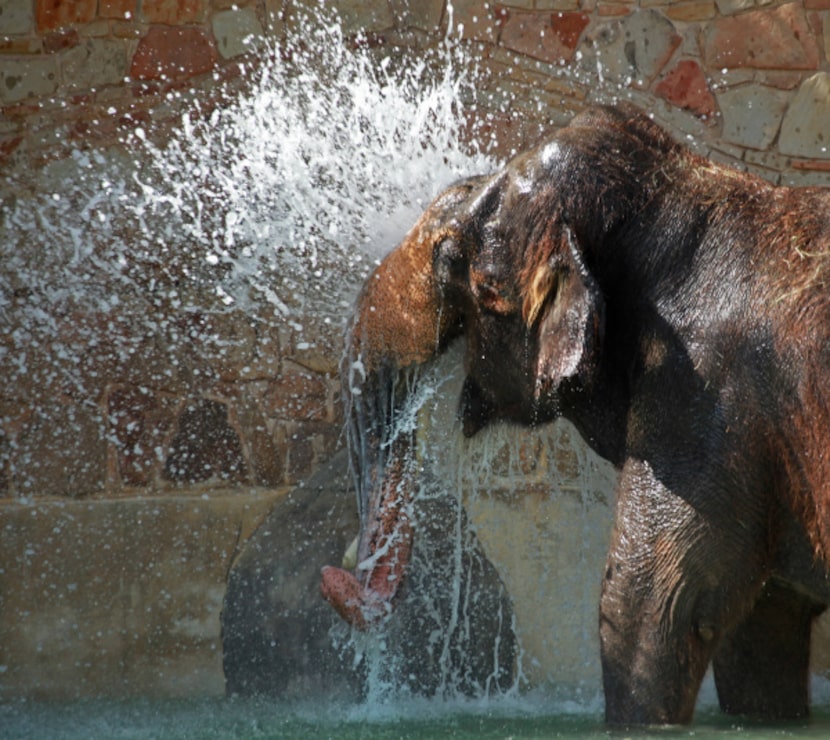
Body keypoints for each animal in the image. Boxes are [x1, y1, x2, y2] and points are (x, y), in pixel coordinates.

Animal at [322, 107, 830, 724]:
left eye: (449, 260)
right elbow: (759, 632)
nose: (341, 566)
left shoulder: (708, 407)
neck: (685, 193)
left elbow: (644, 609)